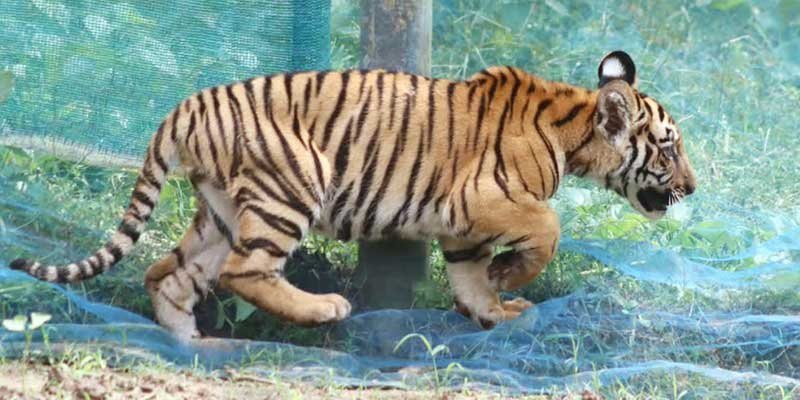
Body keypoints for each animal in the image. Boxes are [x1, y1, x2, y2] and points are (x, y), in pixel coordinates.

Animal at [10, 50, 696, 340]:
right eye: (668, 149)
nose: (692, 187)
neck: (573, 128)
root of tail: (185, 105)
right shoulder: (478, 199)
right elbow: (549, 227)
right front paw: (510, 279)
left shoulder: (462, 228)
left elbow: (470, 276)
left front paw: (494, 310)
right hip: (290, 185)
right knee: (244, 271)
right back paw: (324, 310)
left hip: (221, 212)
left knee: (168, 273)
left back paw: (189, 344)